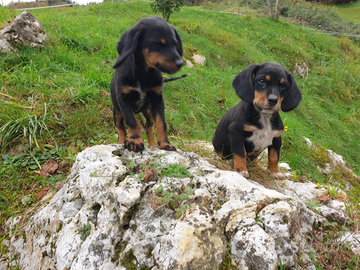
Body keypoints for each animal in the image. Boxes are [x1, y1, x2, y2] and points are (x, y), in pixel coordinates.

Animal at [109, 16, 184, 152]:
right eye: (158, 44)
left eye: (175, 44)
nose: (180, 63)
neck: (144, 73)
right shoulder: (124, 100)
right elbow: (133, 122)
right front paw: (135, 140)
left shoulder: (158, 100)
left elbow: (161, 124)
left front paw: (165, 144)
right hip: (116, 112)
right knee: (121, 129)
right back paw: (121, 142)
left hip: (148, 111)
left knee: (149, 127)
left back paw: (153, 145)